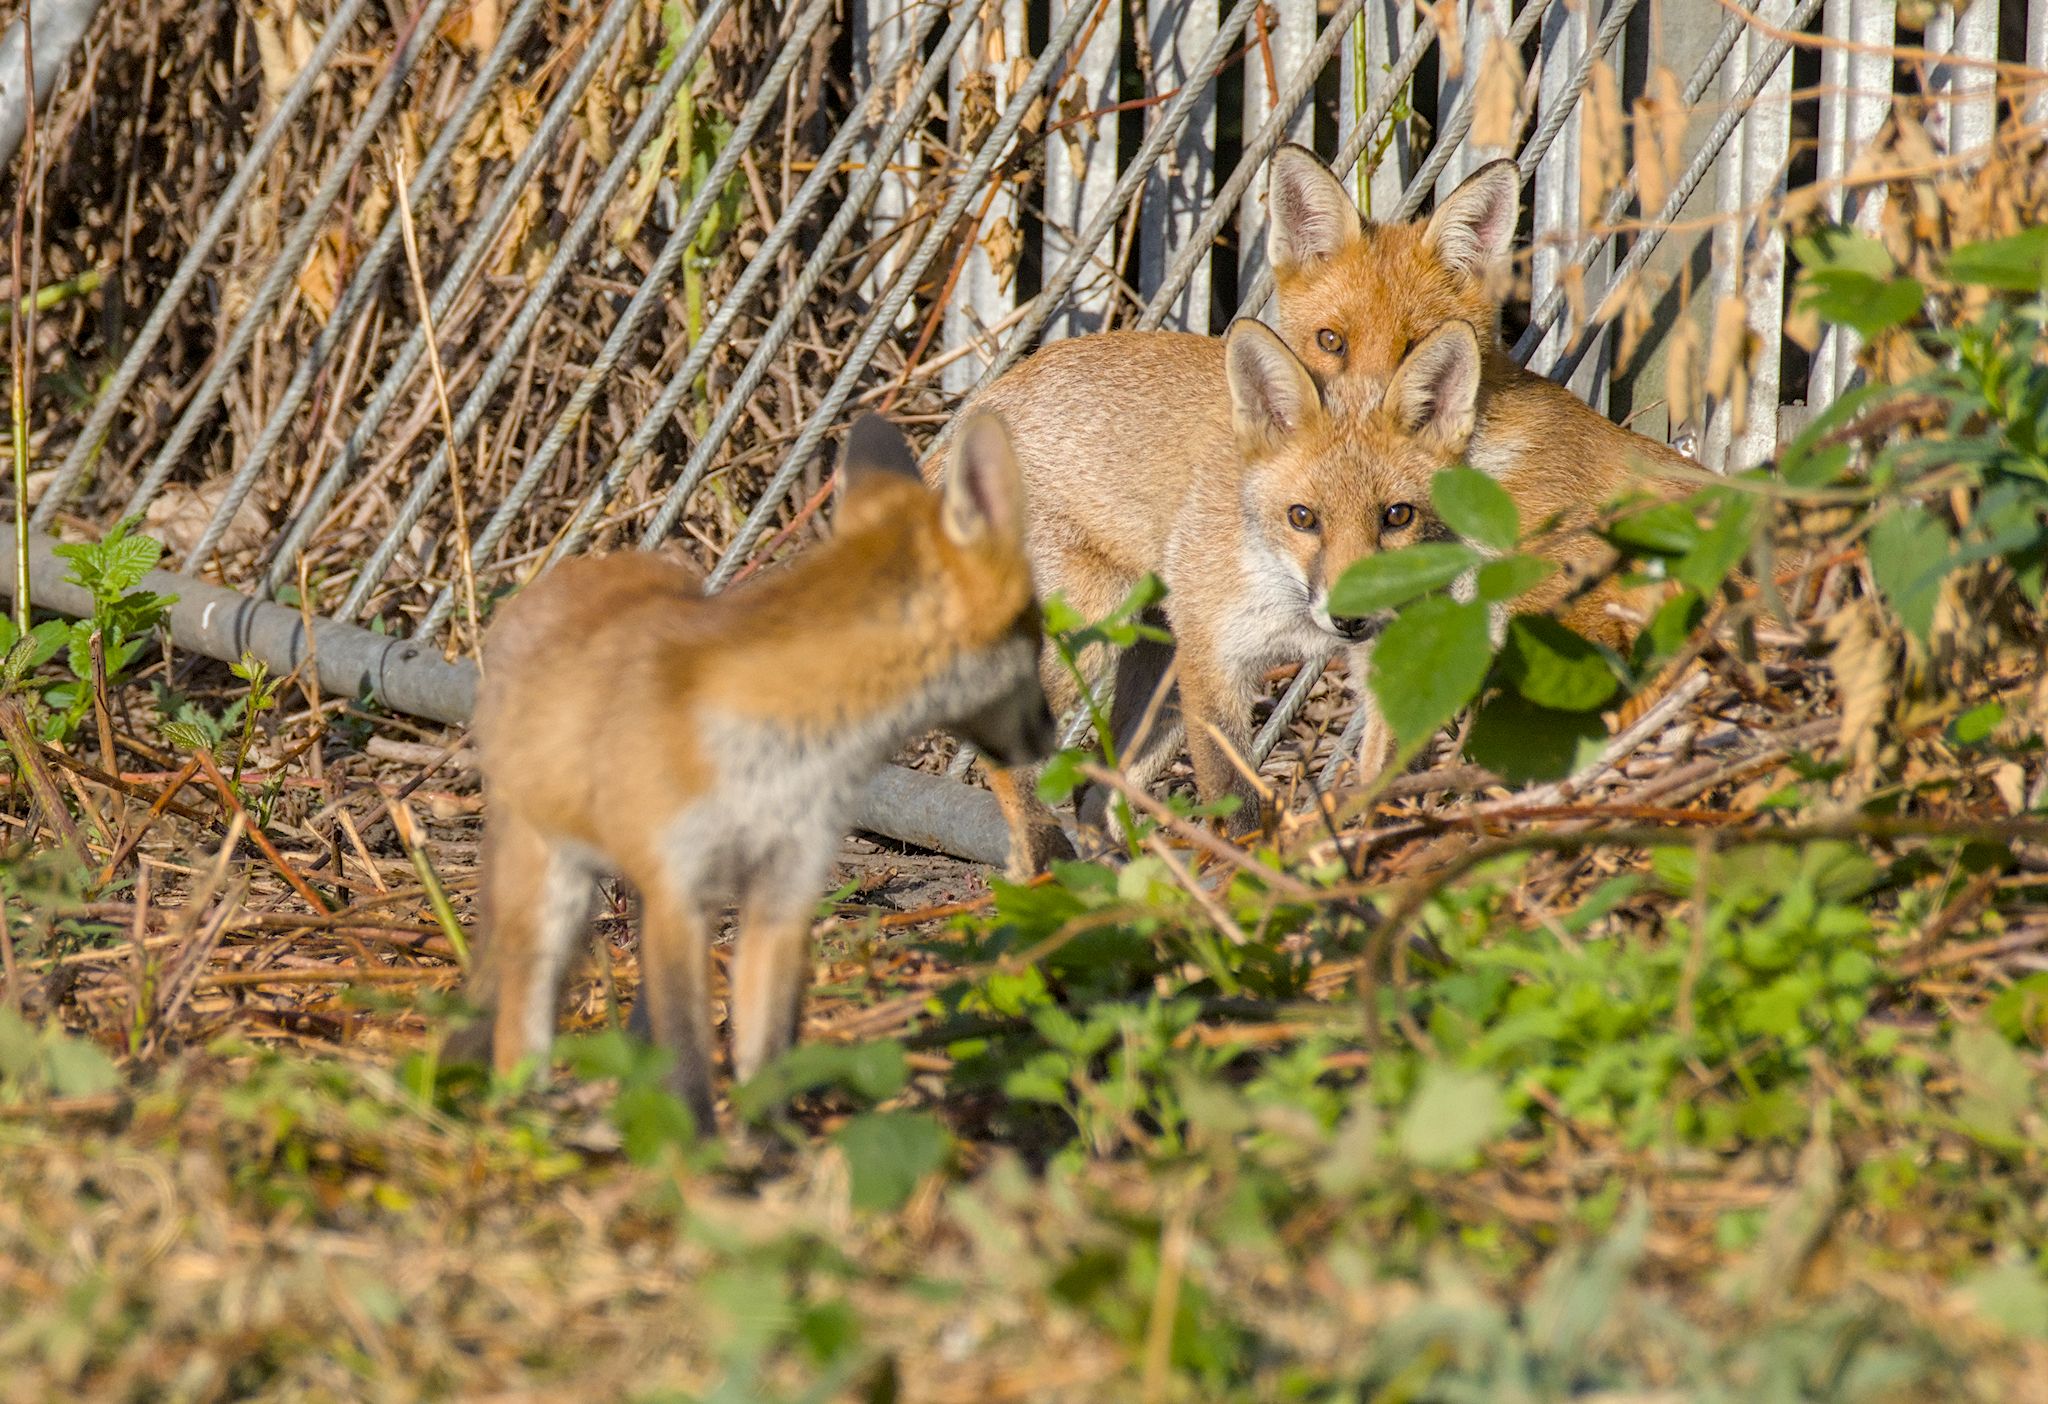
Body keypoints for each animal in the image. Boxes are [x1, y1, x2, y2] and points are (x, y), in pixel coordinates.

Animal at [456, 413, 1055, 1133]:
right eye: (1037, 633)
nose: (1050, 732)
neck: (776, 757)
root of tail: (554, 578)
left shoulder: (785, 885)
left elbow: (767, 1053)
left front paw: (771, 1143)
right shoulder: (678, 887)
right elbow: (688, 1061)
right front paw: (701, 1151)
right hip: (551, 892)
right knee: (519, 1028)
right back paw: (527, 1120)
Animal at [942, 317, 1486, 874]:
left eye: (1397, 516)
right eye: (1302, 517)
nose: (1349, 618)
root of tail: (980, 405)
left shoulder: (1394, 653)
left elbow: (1392, 777)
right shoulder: (1213, 660)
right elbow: (1233, 796)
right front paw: (1249, 876)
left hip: (1159, 682)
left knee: (1097, 788)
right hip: (1088, 634)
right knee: (1008, 757)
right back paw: (1045, 859)